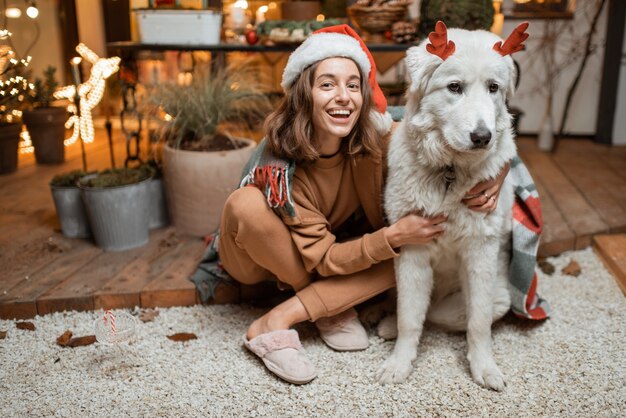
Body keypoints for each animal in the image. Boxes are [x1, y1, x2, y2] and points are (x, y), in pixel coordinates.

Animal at [376, 22, 528, 390]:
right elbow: (409, 319)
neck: (450, 172)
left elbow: (478, 324)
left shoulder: (480, 255)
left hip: (498, 298)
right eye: (454, 87)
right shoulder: (412, 254)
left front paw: (484, 368)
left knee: (440, 317)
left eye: (493, 88)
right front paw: (399, 364)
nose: (482, 137)